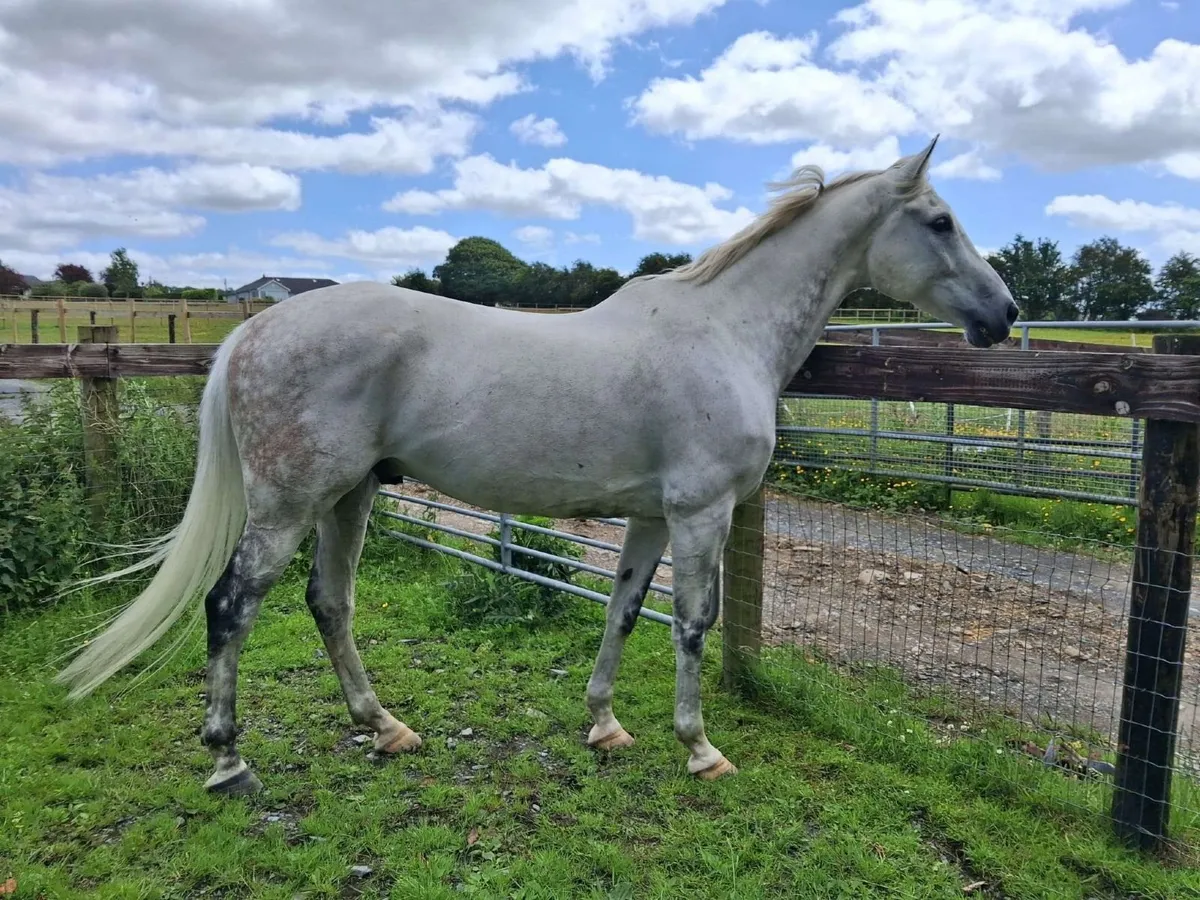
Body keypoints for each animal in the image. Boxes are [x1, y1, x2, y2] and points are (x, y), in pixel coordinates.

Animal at [55, 136, 1017, 795]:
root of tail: (253, 331)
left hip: (349, 497)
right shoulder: (702, 511)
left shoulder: (652, 516)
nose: (1005, 314)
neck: (725, 331)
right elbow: (693, 624)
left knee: (328, 603)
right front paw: (700, 748)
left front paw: (606, 726)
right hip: (290, 503)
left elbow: (625, 613)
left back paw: (386, 727)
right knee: (231, 606)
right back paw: (228, 761)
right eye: (940, 221)